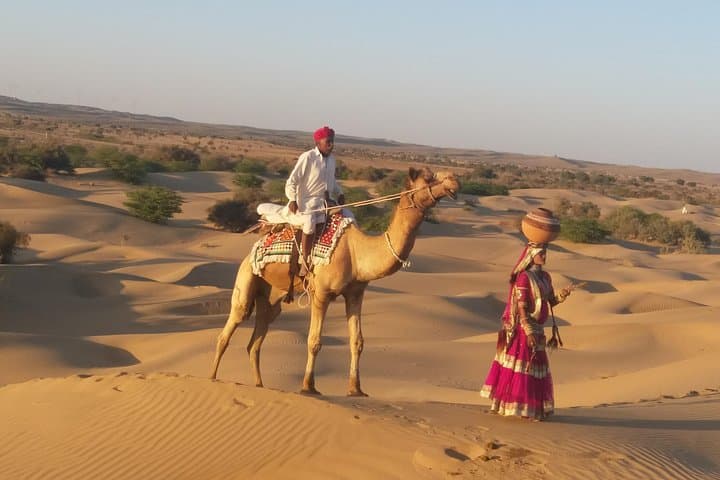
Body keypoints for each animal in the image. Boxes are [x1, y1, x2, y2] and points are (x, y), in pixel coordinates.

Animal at [210, 166, 460, 396]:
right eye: (427, 177)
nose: (454, 180)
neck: (357, 253)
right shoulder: (321, 293)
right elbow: (314, 341)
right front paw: (308, 387)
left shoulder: (355, 294)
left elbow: (357, 342)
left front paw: (356, 389)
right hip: (246, 279)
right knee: (229, 328)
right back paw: (212, 377)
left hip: (270, 297)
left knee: (256, 338)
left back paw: (259, 385)